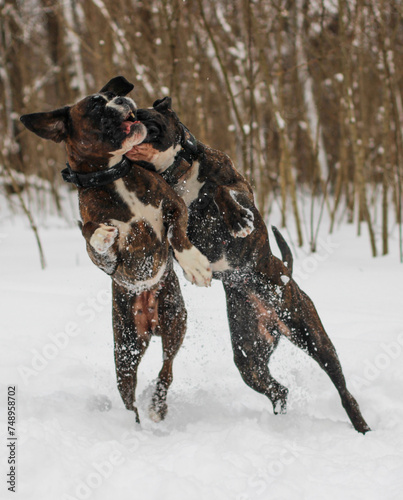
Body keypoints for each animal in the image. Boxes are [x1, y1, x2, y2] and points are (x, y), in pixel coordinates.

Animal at [19, 77, 211, 422]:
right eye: (97, 104)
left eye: (113, 94)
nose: (123, 99)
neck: (113, 176)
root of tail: (149, 319)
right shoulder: (107, 262)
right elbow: (92, 238)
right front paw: (102, 236)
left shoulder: (173, 205)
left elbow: (177, 234)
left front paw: (194, 264)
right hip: (125, 351)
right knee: (129, 396)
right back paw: (134, 423)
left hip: (175, 322)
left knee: (166, 369)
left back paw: (158, 405)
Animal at [129, 95, 372, 432]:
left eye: (139, 114)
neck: (176, 174)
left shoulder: (240, 185)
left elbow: (220, 190)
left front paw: (238, 221)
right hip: (250, 358)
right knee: (278, 389)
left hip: (313, 337)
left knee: (342, 388)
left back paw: (361, 426)